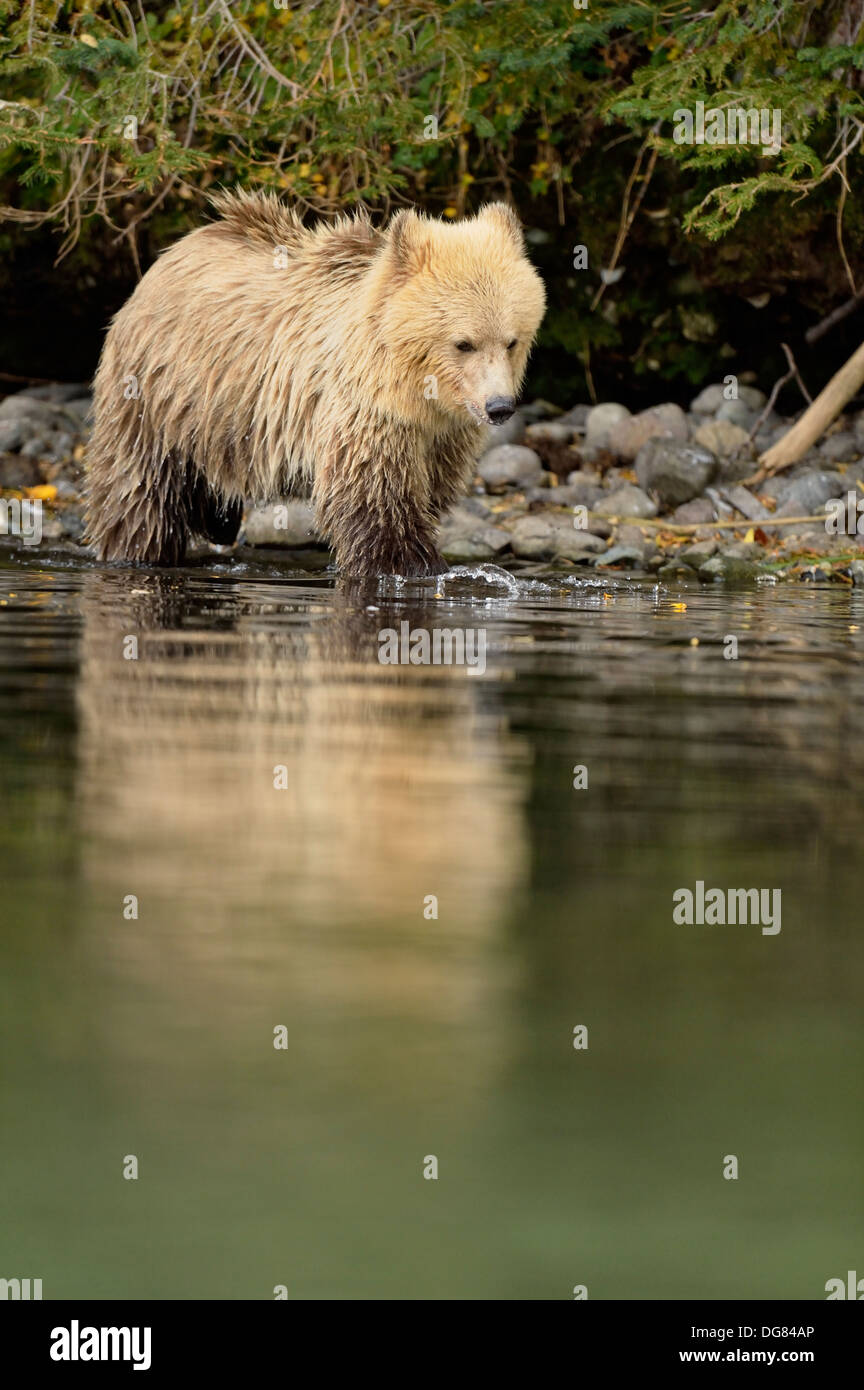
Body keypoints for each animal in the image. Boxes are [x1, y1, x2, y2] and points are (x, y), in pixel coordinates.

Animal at [88, 190, 547, 575]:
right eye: (463, 343)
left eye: (511, 341)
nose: (499, 407)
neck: (416, 394)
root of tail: (170, 254)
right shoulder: (365, 414)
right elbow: (375, 501)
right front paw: (411, 566)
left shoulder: (442, 438)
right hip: (156, 396)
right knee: (139, 495)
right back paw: (137, 551)